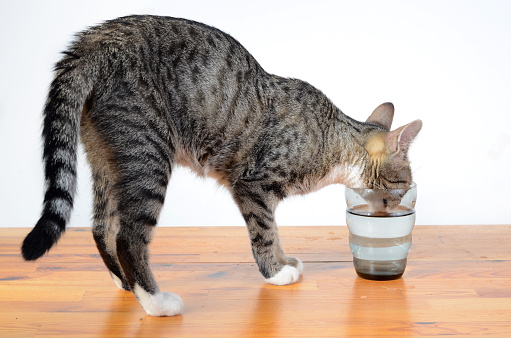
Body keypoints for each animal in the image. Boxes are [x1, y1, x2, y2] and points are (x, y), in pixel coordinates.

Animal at [20, 15, 422, 316]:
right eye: (402, 185)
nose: (398, 205)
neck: (332, 139)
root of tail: (97, 39)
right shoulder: (252, 185)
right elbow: (264, 231)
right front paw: (275, 272)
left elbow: (276, 231)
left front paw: (284, 260)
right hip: (146, 156)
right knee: (128, 236)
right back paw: (155, 301)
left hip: (106, 157)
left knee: (102, 226)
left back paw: (126, 283)